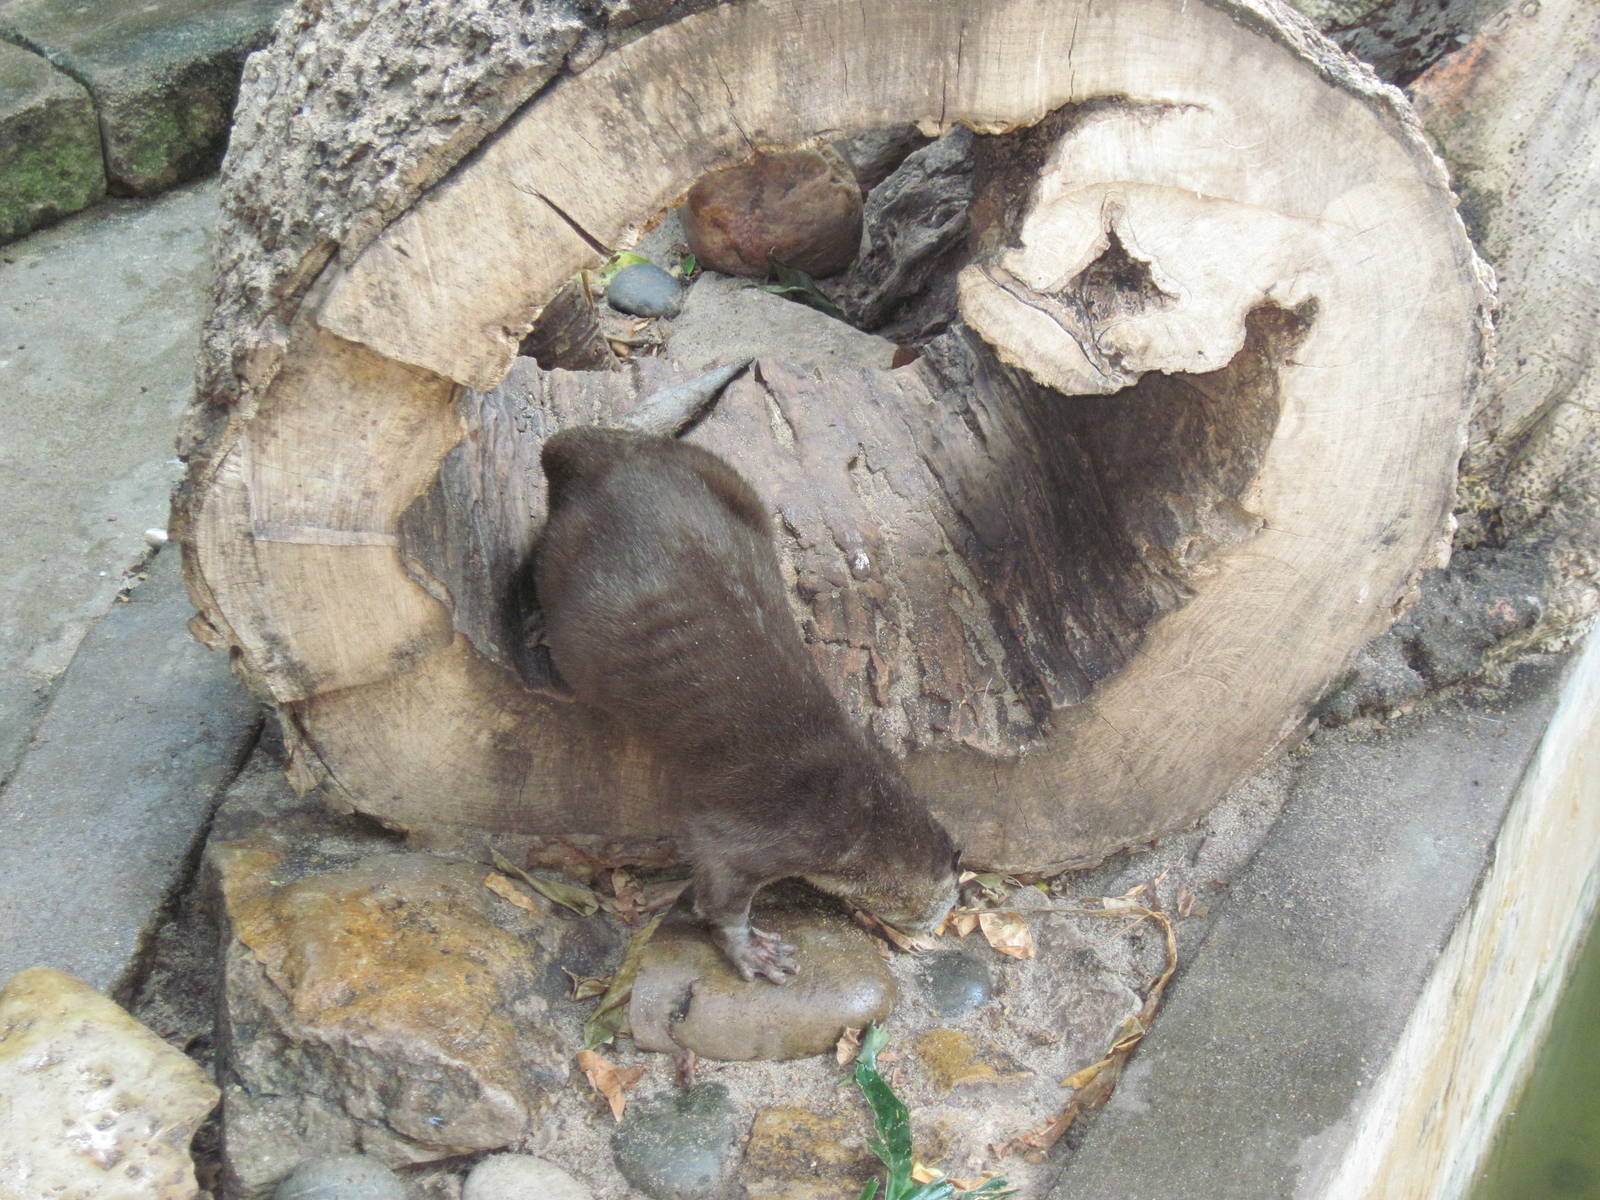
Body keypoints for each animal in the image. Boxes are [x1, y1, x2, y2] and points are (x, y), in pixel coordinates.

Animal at [533, 425, 960, 983]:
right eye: (945, 901)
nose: (935, 925)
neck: (862, 813)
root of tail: (609, 457)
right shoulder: (772, 836)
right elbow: (720, 887)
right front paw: (751, 951)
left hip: (725, 478)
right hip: (567, 566)